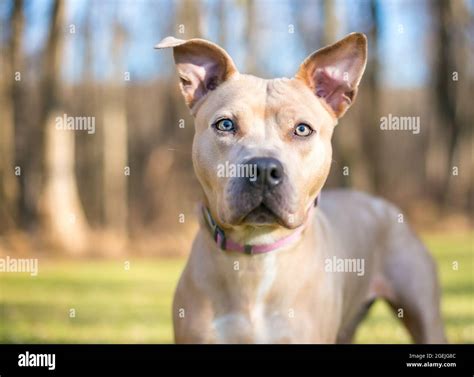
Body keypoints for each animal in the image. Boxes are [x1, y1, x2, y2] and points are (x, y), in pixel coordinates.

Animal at [155, 33, 444, 344]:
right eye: (226, 124)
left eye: (302, 129)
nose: (262, 169)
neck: (256, 256)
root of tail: (381, 204)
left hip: (424, 314)